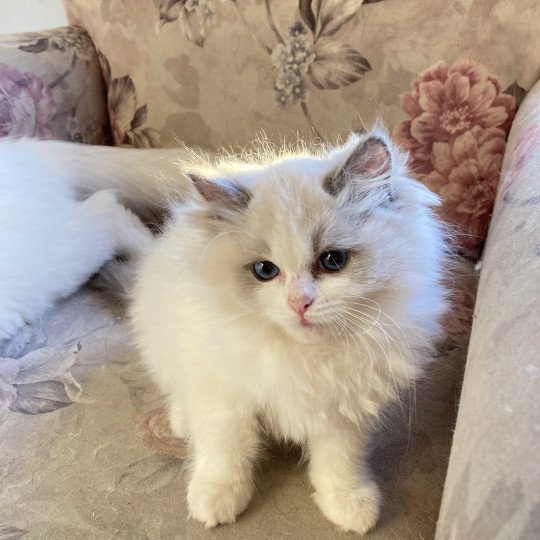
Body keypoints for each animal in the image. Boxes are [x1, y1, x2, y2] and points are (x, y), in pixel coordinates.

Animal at [130, 127, 448, 536]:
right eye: (265, 270)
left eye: (332, 260)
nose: (300, 304)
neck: (306, 358)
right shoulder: (223, 396)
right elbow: (224, 450)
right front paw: (215, 499)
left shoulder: (343, 406)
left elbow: (339, 462)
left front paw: (349, 504)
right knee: (179, 395)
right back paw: (181, 423)